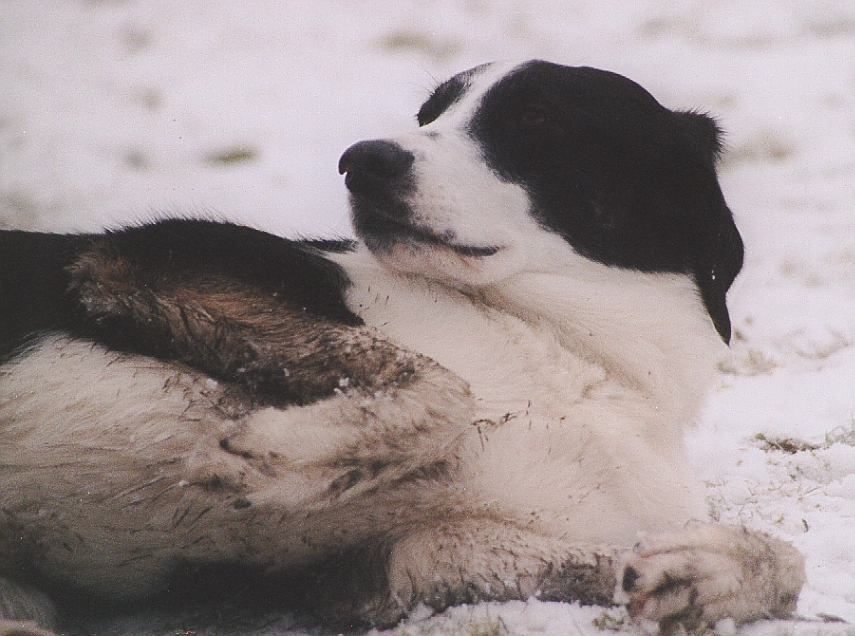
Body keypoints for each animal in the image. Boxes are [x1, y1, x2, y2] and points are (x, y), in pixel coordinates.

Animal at [0, 60, 804, 636]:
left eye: (536, 117)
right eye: (429, 116)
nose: (361, 159)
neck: (571, 351)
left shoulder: (379, 570)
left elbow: (782, 564)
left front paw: (710, 571)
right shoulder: (143, 262)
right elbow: (446, 390)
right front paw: (287, 453)